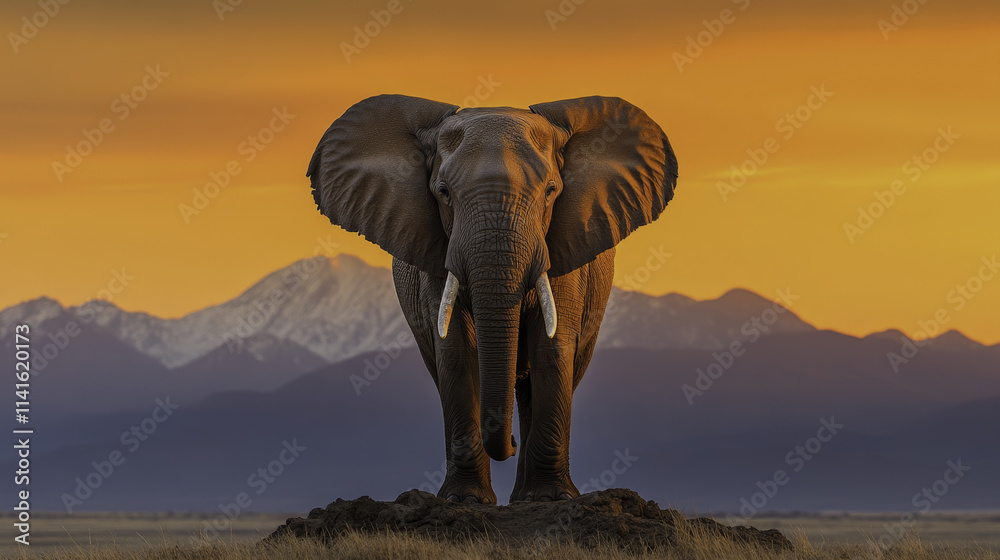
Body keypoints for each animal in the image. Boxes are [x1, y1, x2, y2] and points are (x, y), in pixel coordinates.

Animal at [308, 94, 677, 503]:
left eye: (551, 191)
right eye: (443, 192)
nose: (510, 442)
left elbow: (553, 347)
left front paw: (550, 498)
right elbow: (456, 350)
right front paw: (464, 500)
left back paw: (526, 496)